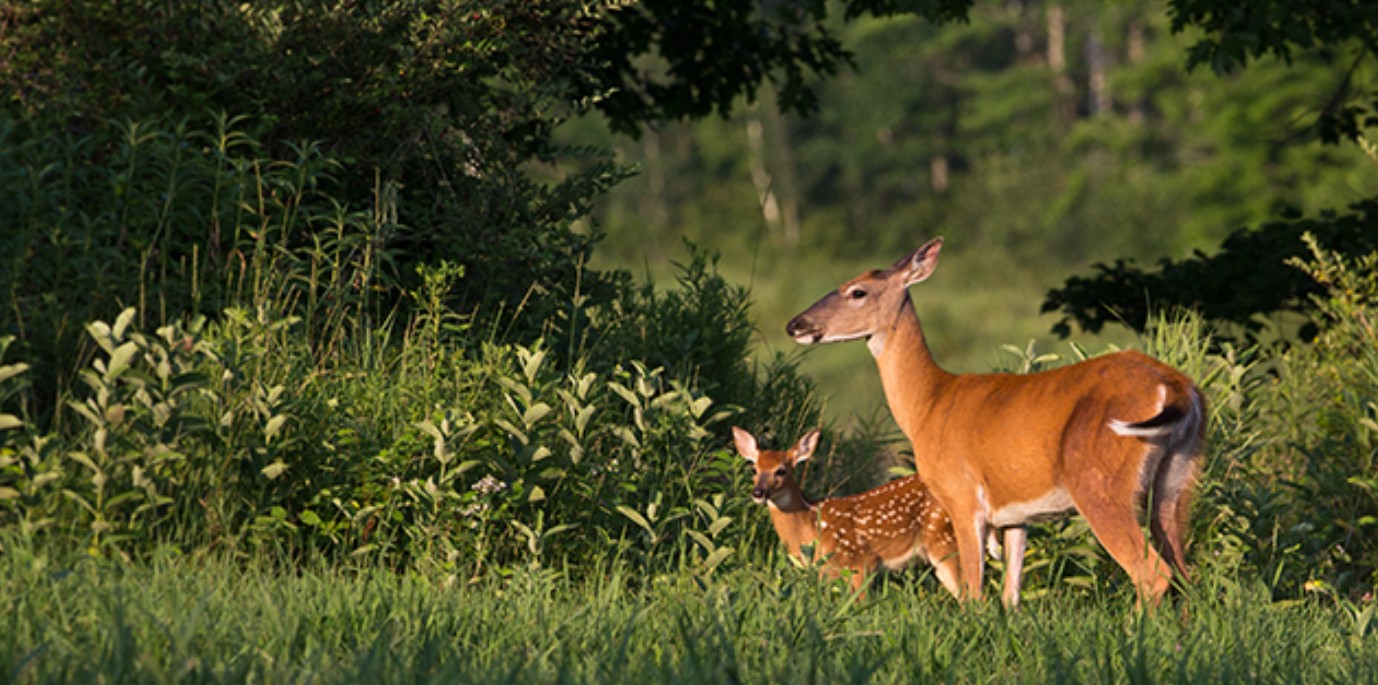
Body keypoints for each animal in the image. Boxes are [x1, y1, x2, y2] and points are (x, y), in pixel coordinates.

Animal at [733, 426, 962, 599]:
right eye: (754, 469)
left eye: (781, 470)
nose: (758, 492)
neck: (812, 525)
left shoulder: (860, 560)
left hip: (944, 541)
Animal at [785, 236, 1206, 608]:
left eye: (857, 291)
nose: (796, 324)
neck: (929, 404)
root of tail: (1176, 387)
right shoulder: (1015, 515)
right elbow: (1010, 595)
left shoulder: (961, 495)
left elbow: (974, 592)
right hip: (1177, 479)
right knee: (1184, 573)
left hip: (1099, 480)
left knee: (1152, 573)